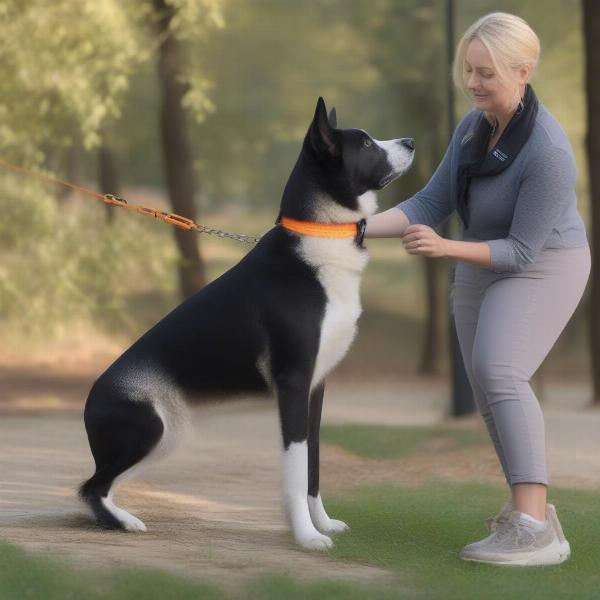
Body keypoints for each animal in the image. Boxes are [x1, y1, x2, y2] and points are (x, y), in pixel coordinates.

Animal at [81, 96, 412, 552]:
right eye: (363, 143)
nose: (411, 142)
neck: (319, 235)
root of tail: (88, 403)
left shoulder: (316, 387)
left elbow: (313, 464)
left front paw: (322, 524)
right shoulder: (293, 383)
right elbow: (296, 468)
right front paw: (306, 537)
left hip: (168, 435)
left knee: (101, 485)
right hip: (151, 428)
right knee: (91, 487)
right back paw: (123, 522)